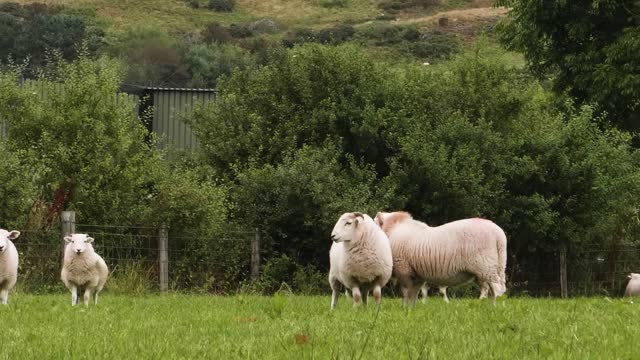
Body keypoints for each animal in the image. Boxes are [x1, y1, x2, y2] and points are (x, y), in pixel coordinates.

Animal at [372, 211, 508, 306]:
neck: (392, 231)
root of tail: (499, 234)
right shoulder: (417, 275)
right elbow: (414, 293)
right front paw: (411, 309)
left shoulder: (404, 271)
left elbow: (406, 292)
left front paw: (405, 309)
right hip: (493, 267)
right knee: (493, 289)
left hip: (486, 267)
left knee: (496, 289)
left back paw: (494, 307)